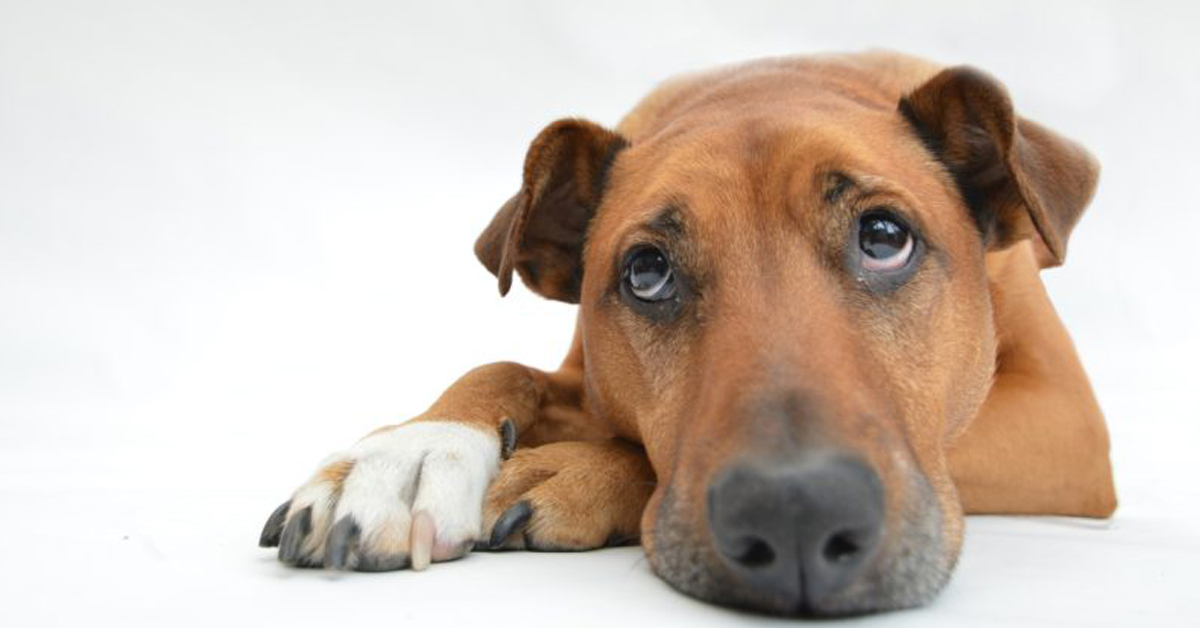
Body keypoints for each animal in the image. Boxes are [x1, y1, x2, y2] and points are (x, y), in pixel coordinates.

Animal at [258, 51, 1118, 614]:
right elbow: (503, 366)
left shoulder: (1065, 421)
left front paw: (580, 471)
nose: (796, 514)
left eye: (884, 237)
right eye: (646, 273)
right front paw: (409, 454)